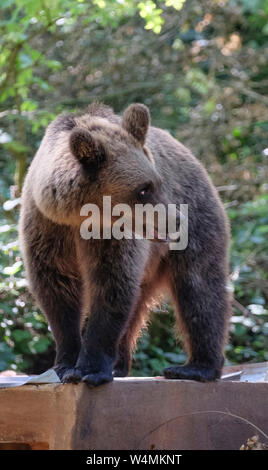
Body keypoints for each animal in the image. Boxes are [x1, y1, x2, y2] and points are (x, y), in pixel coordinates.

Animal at [18, 103, 230, 386]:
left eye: (158, 183)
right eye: (143, 189)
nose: (177, 220)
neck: (78, 218)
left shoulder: (112, 237)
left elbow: (111, 283)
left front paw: (88, 370)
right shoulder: (48, 228)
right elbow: (56, 290)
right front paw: (64, 364)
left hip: (198, 221)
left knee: (199, 289)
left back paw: (196, 367)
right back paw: (119, 365)